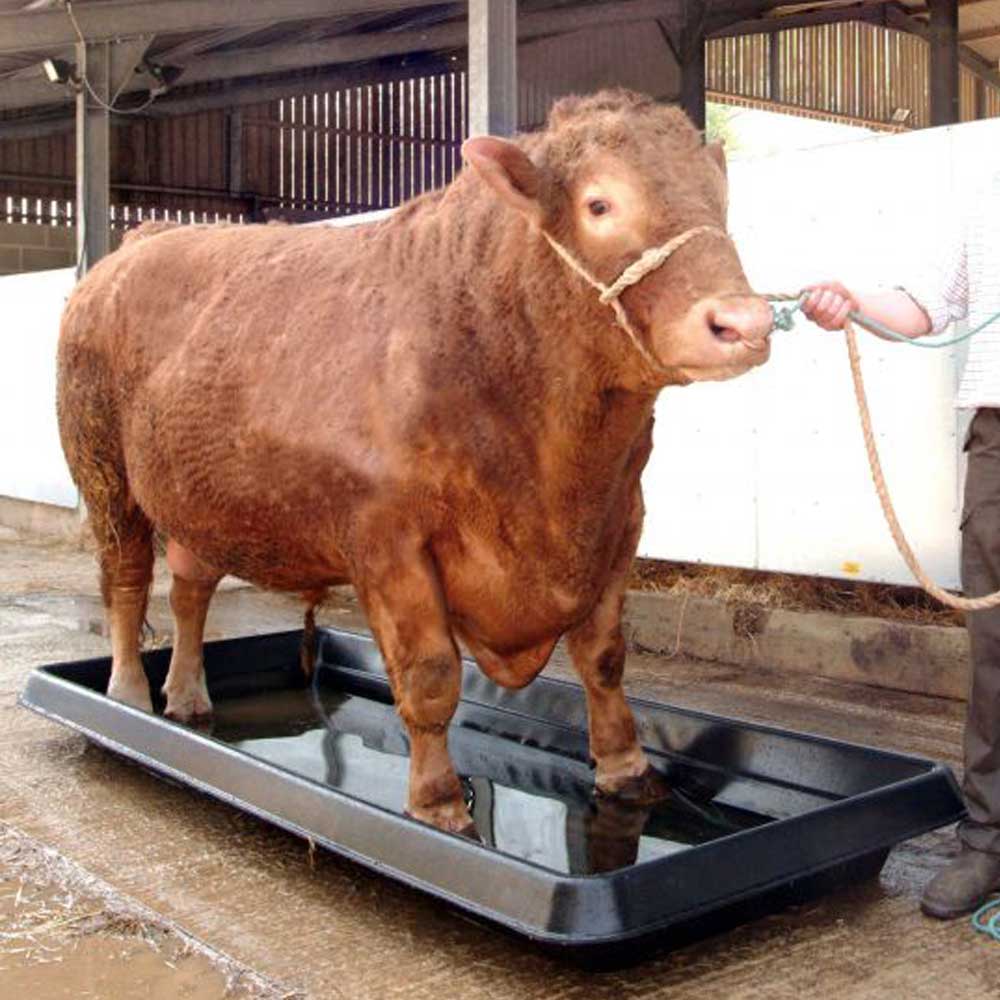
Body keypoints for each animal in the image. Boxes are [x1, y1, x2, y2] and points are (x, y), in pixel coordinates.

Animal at [57, 89, 772, 835]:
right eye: (599, 204)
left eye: (718, 199)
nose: (743, 322)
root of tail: (143, 240)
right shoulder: (387, 538)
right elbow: (430, 674)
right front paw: (437, 804)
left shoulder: (620, 520)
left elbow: (603, 658)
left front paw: (627, 771)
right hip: (104, 472)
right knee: (126, 582)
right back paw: (128, 695)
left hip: (201, 495)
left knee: (190, 588)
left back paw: (189, 695)